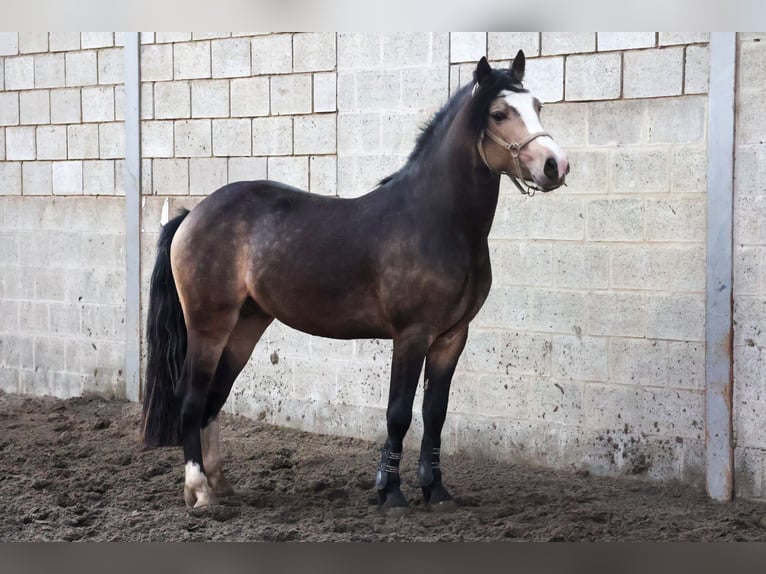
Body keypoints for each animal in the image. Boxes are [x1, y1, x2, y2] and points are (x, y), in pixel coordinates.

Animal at [142, 51, 568, 516]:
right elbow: (398, 413)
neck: (436, 220)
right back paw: (200, 491)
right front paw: (391, 493)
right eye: (499, 113)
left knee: (214, 399)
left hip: (246, 325)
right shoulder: (412, 334)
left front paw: (436, 491)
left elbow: (435, 413)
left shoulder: (452, 336)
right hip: (209, 324)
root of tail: (192, 215)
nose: (555, 165)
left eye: (539, 107)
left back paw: (220, 484)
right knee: (191, 397)